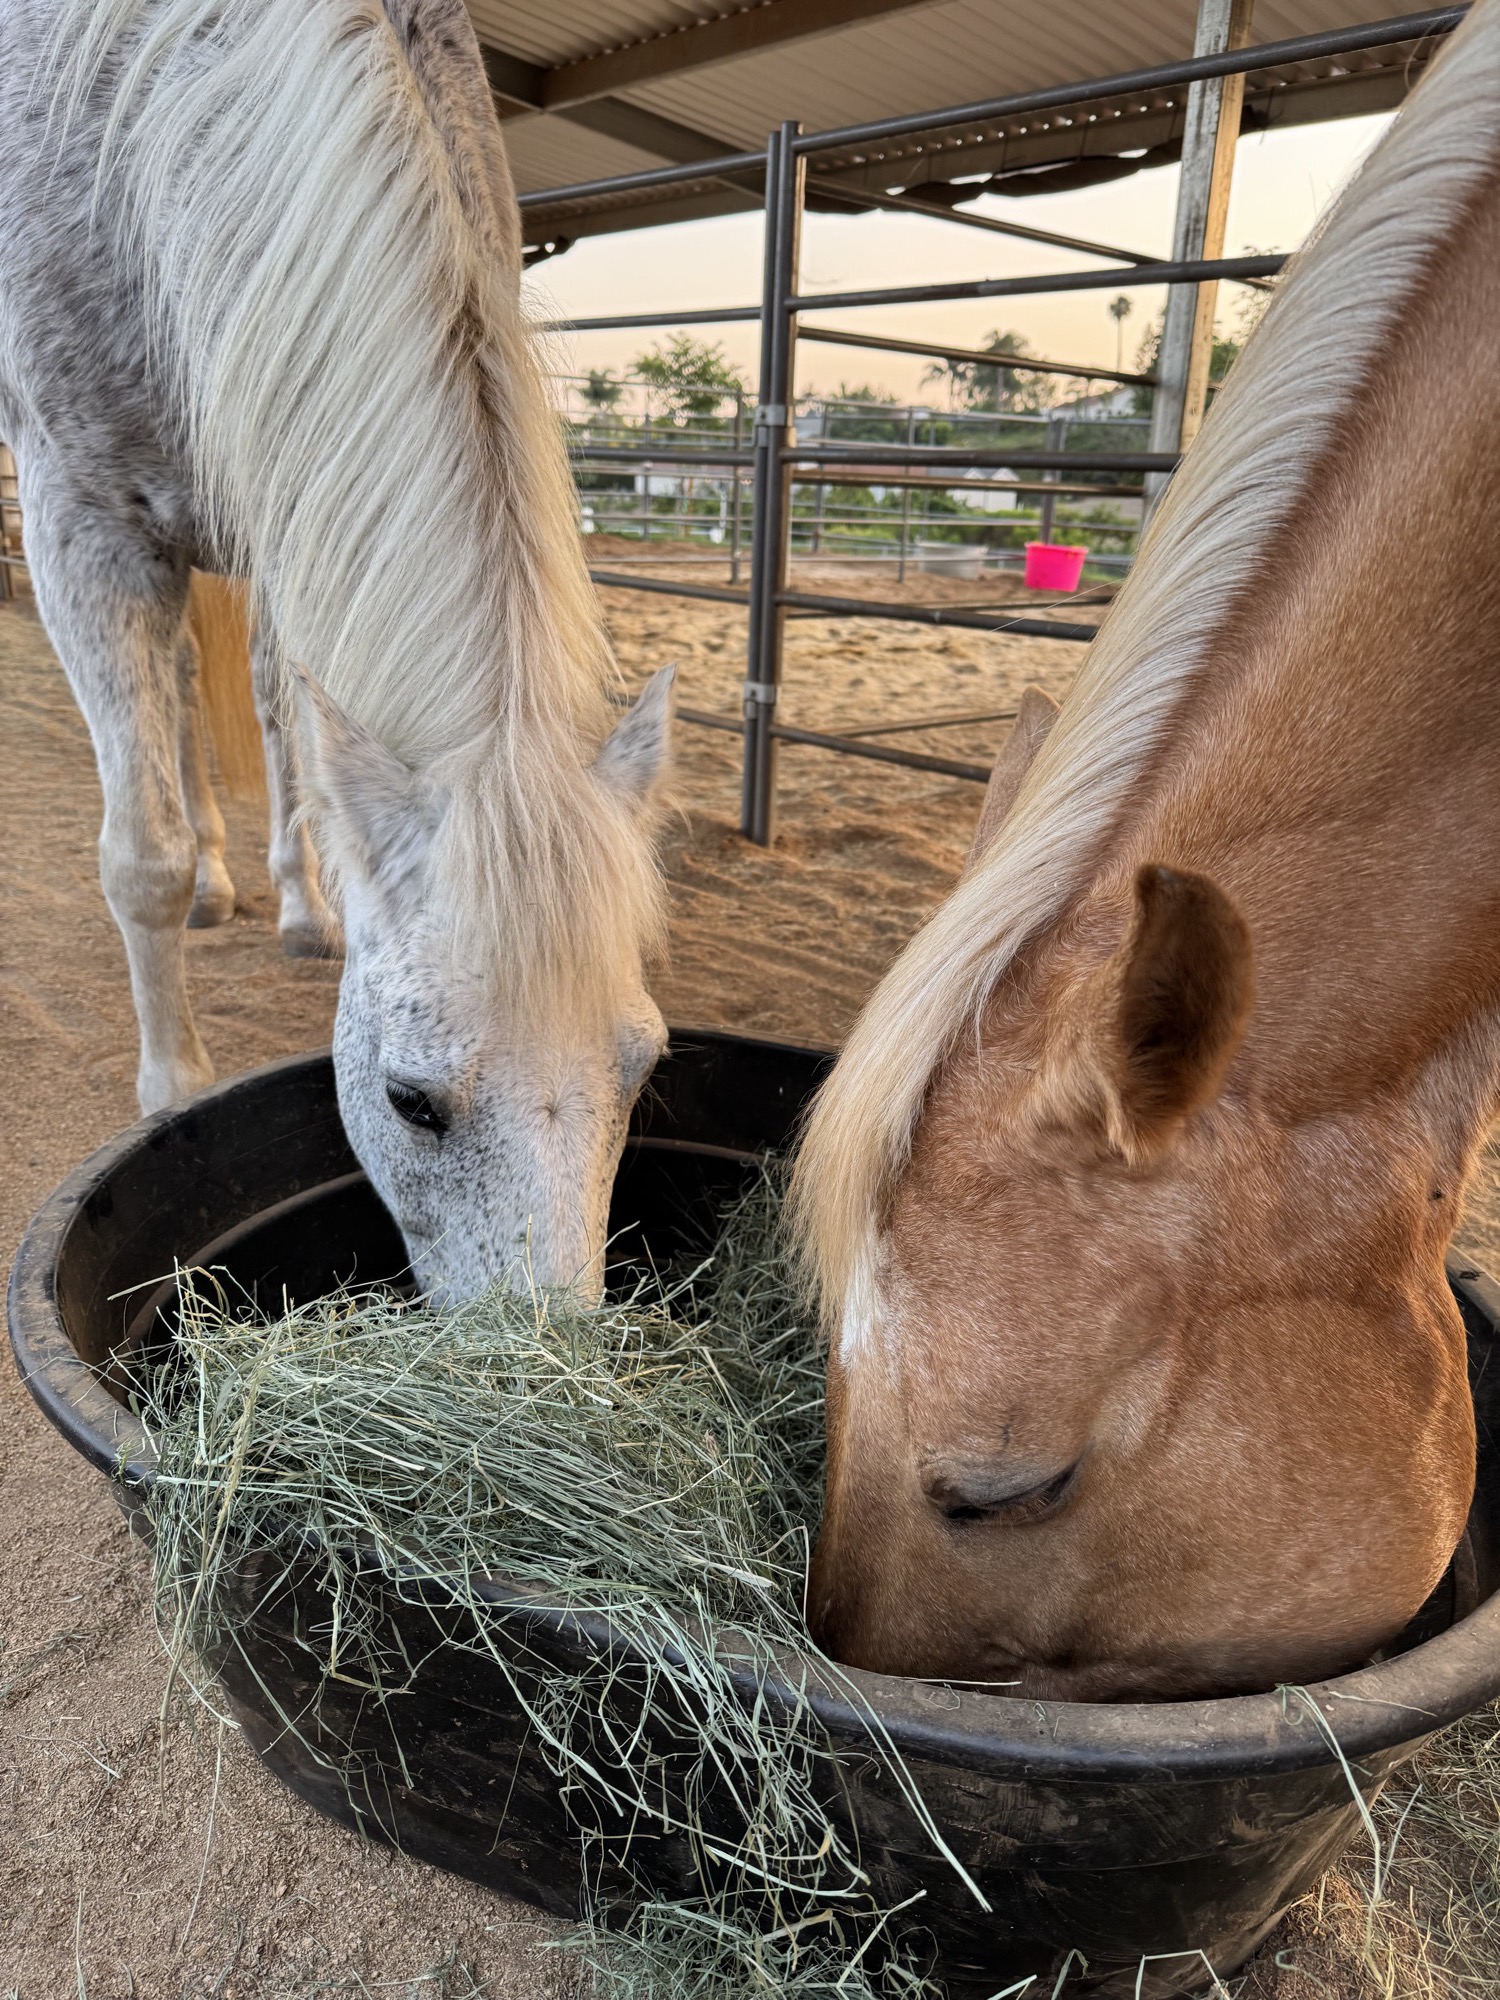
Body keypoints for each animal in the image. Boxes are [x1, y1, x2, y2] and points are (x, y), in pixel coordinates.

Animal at [0, 0, 675, 1303]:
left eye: (644, 1067)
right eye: (411, 1100)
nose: (548, 1349)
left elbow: (287, 725)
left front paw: (305, 899)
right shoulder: (79, 521)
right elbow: (142, 857)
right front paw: (170, 1094)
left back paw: (281, 898)